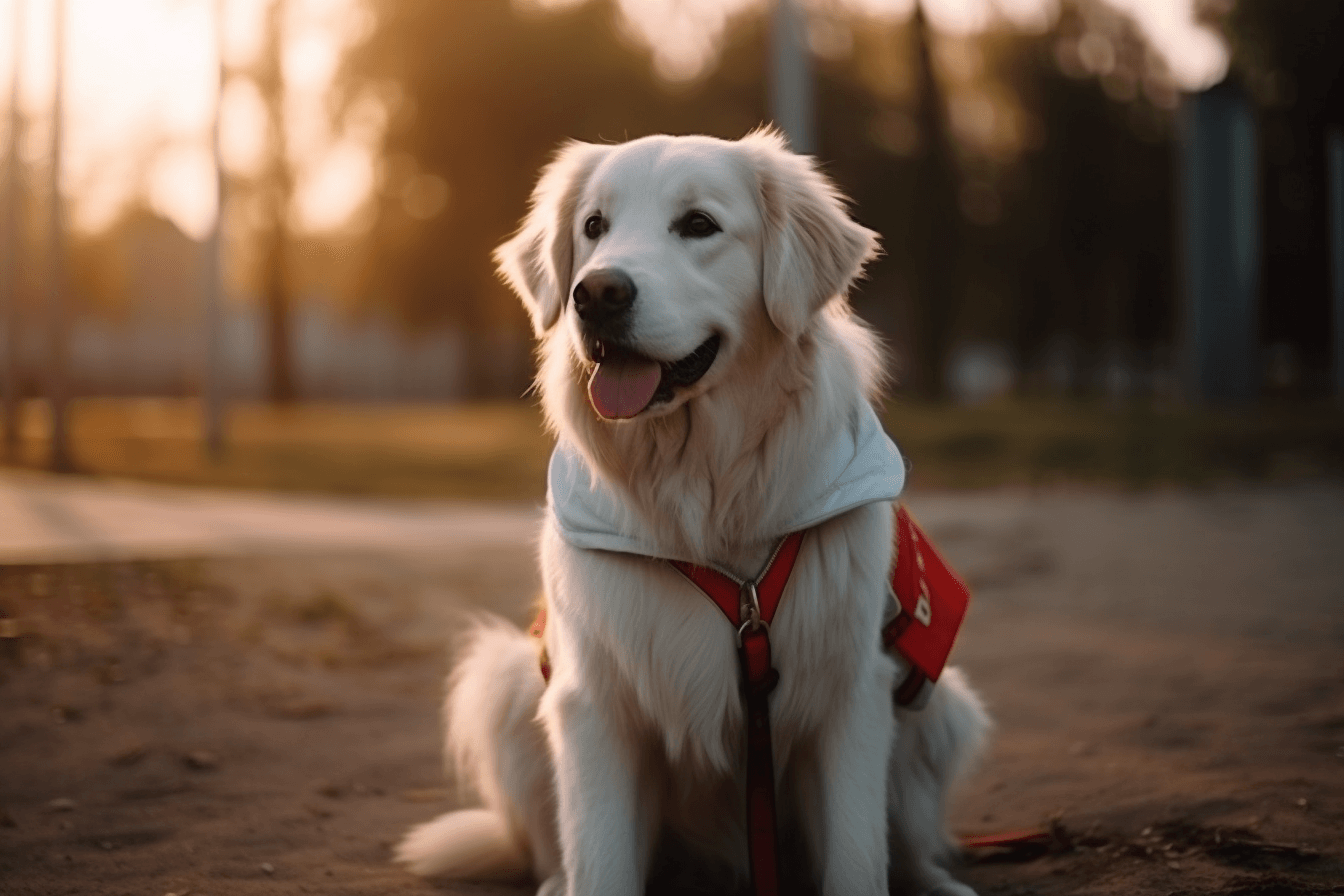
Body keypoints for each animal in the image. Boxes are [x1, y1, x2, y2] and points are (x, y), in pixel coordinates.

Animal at [392, 127, 994, 896]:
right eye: (594, 226)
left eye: (699, 225)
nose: (596, 294)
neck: (703, 487)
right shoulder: (595, 702)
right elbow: (603, 862)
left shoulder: (851, 693)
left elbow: (858, 856)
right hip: (508, 678)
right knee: (560, 851)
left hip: (938, 703)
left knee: (910, 844)